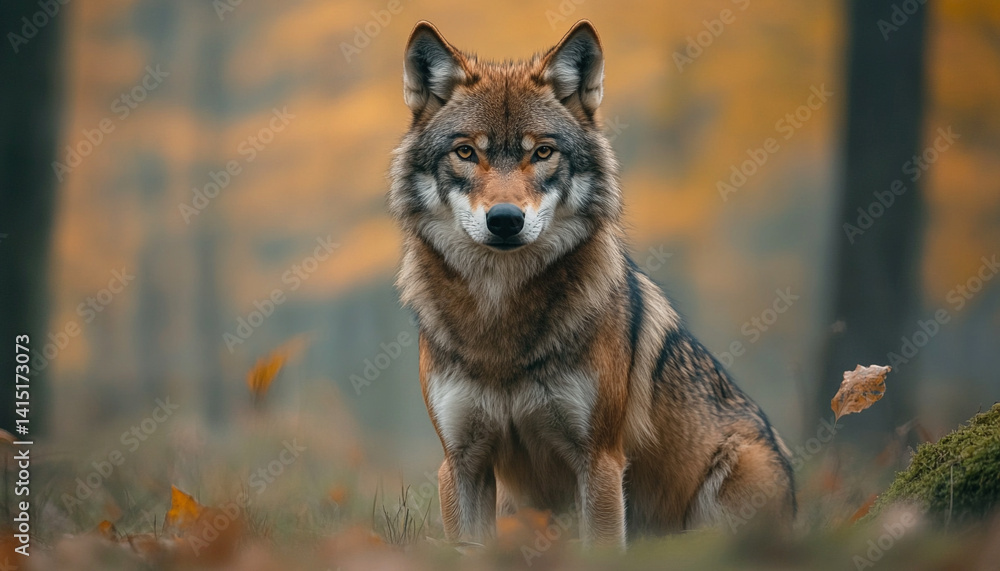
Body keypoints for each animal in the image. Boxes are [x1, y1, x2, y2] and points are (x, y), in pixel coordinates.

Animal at [388, 20, 795, 548]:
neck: (501, 320)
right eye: (466, 152)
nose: (505, 220)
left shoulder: (599, 460)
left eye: (542, 152)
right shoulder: (461, 462)